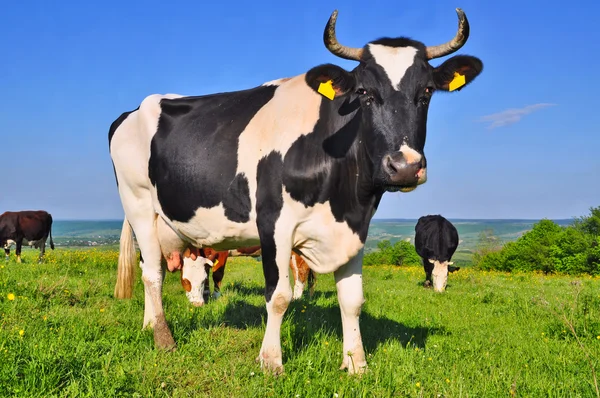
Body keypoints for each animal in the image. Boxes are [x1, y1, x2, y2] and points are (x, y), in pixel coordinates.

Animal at [109, 9, 482, 376]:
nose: (404, 166)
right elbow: (278, 296)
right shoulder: (274, 224)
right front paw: (271, 360)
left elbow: (352, 299)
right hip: (138, 203)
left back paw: (147, 324)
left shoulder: (355, 227)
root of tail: (133, 111)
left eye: (427, 91)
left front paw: (356, 363)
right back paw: (163, 337)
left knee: (150, 267)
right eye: (364, 93)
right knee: (152, 273)